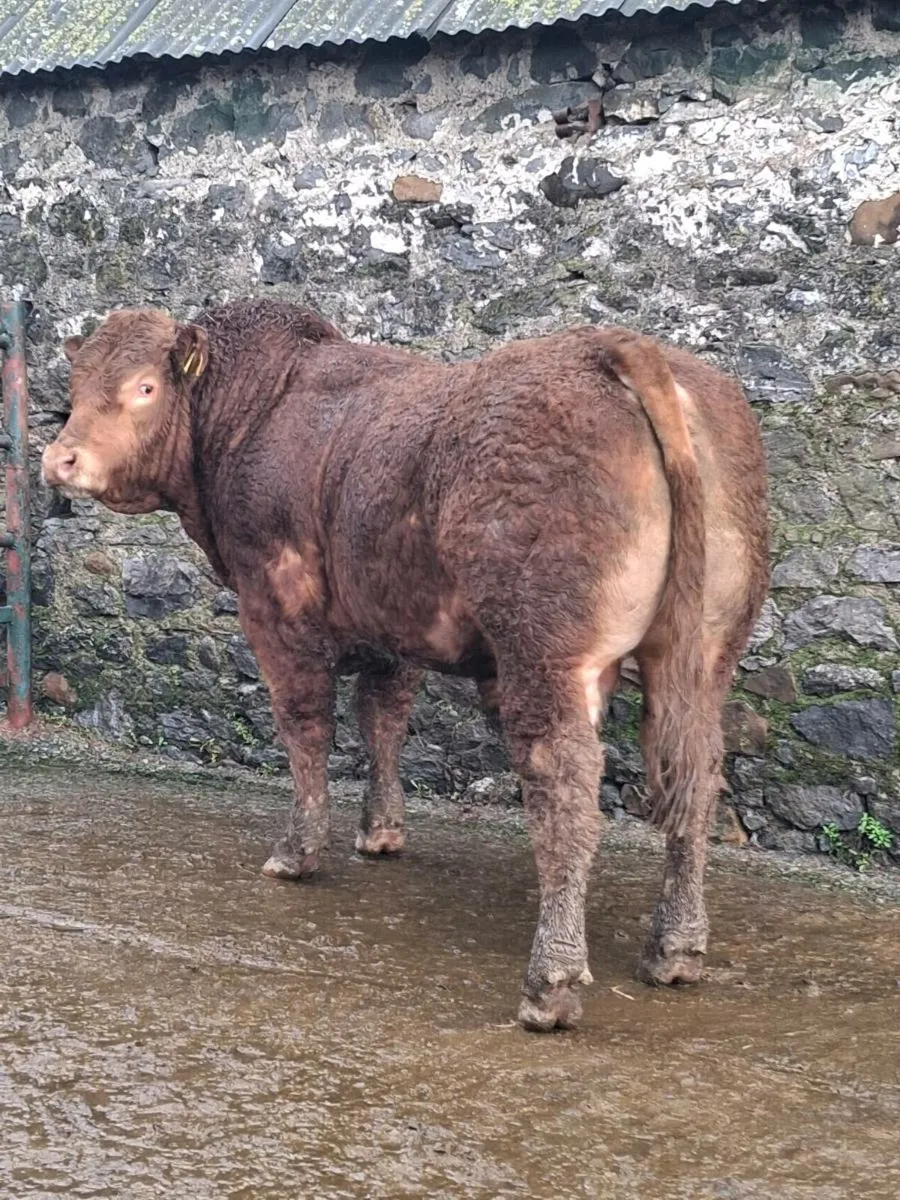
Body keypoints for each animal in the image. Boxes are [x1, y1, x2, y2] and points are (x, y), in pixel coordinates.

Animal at [42, 299, 769, 1032]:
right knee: (695, 774)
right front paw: (381, 831)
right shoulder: (393, 622)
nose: (59, 457)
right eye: (75, 386)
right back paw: (676, 949)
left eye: (144, 387)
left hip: (548, 653)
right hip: (703, 652)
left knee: (564, 788)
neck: (255, 412)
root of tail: (614, 347)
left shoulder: (275, 604)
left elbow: (306, 726)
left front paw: (298, 850)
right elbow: (383, 719)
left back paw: (551, 983)